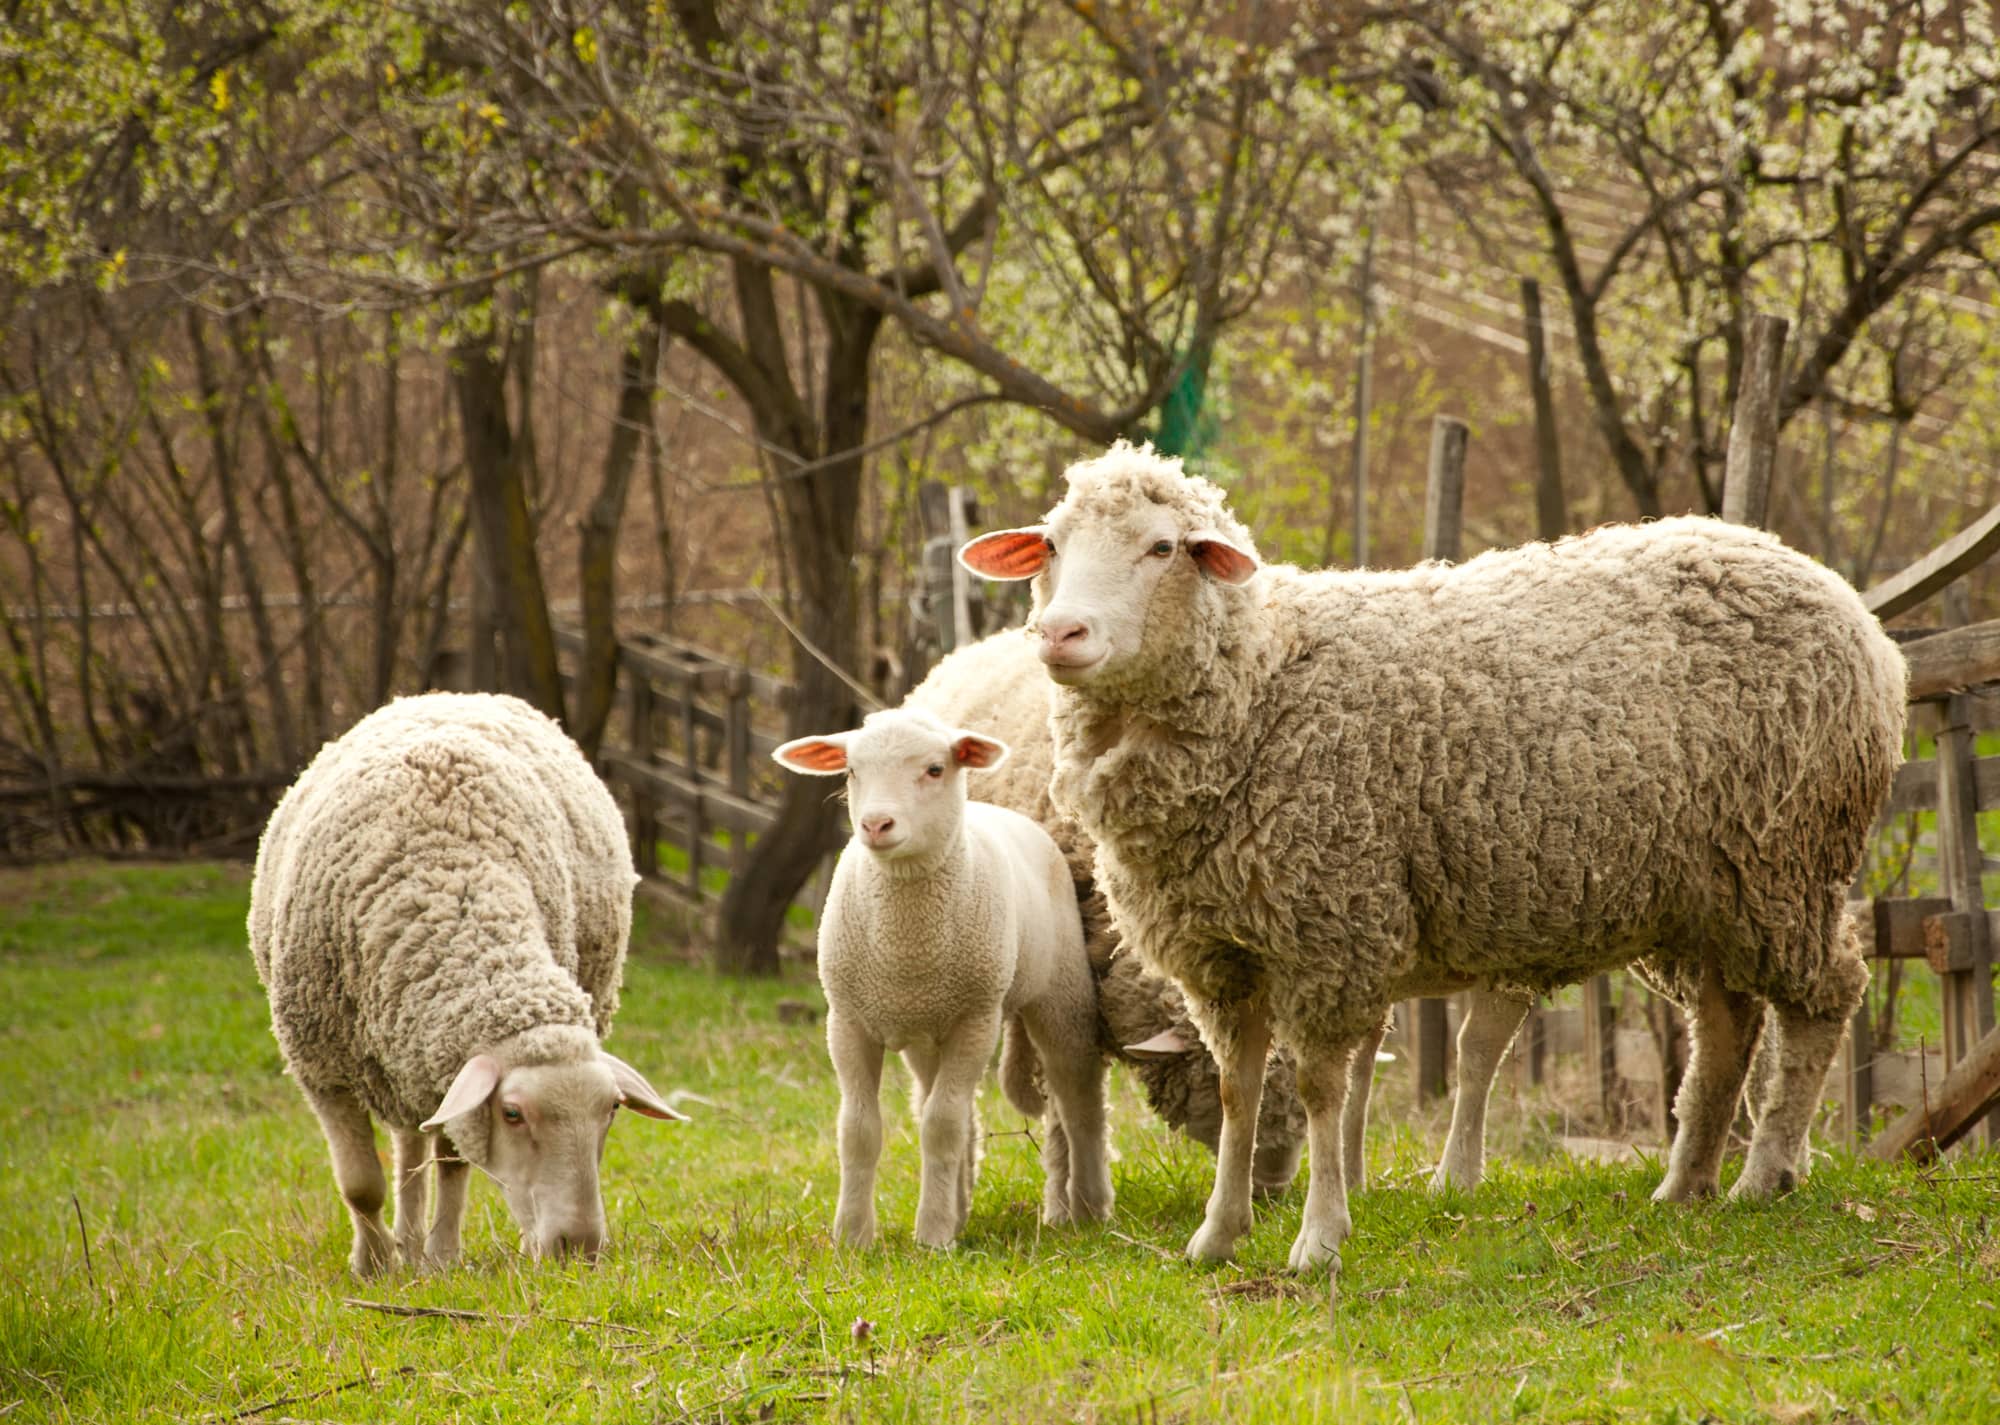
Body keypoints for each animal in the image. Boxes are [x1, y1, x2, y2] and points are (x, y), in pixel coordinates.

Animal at [776, 708, 1120, 1248]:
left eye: (935, 769)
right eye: (851, 770)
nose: (875, 824)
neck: (907, 944)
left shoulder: (975, 1020)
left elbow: (941, 1125)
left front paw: (933, 1235)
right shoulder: (848, 1021)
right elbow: (859, 1129)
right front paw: (852, 1235)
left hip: (1060, 993)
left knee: (1078, 1095)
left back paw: (1088, 1207)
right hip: (925, 1033)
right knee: (952, 1106)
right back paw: (960, 1207)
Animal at [964, 442, 1904, 1272]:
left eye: (1162, 548)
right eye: (1051, 544)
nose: (1061, 632)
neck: (1261, 683)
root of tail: (1847, 603)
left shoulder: (1329, 929)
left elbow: (1321, 1090)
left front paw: (1318, 1239)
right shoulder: (1221, 955)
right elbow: (1238, 1090)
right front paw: (1218, 1235)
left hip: (1788, 862)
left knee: (1824, 997)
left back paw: (1764, 1172)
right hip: (1707, 894)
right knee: (1726, 1024)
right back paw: (1686, 1183)